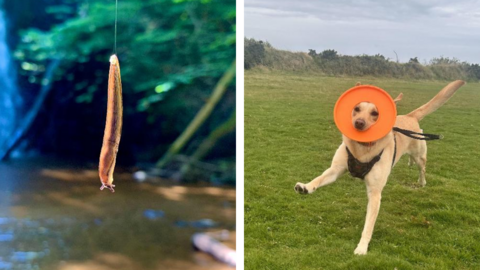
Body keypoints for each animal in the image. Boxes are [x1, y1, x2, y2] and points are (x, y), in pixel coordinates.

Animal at [292, 80, 464, 255]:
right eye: (356, 108)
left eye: (375, 113)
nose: (359, 123)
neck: (363, 148)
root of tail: (410, 116)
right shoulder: (335, 170)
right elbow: (318, 179)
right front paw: (306, 187)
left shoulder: (375, 193)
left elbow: (369, 225)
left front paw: (362, 247)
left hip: (420, 154)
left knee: (422, 168)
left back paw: (422, 182)